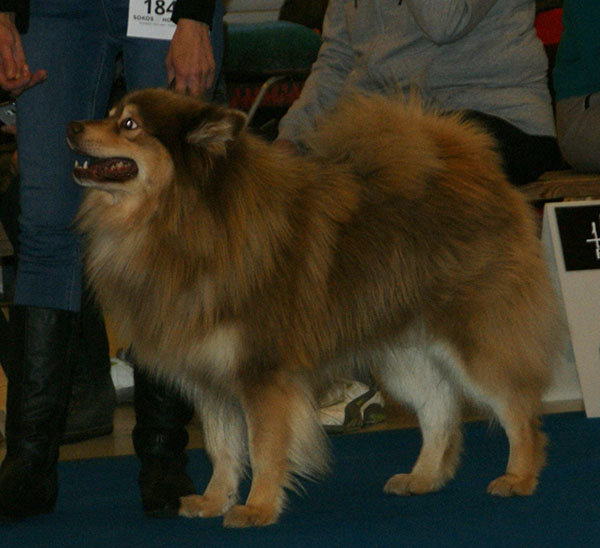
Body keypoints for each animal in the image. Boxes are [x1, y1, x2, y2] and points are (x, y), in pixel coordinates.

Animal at [68, 89, 564, 528]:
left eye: (129, 125)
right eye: (109, 113)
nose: (72, 126)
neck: (186, 221)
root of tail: (473, 169)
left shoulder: (262, 374)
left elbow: (264, 449)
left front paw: (257, 508)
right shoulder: (211, 378)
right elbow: (221, 448)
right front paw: (213, 501)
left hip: (473, 342)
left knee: (518, 409)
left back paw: (519, 477)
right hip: (405, 354)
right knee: (439, 409)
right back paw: (422, 477)